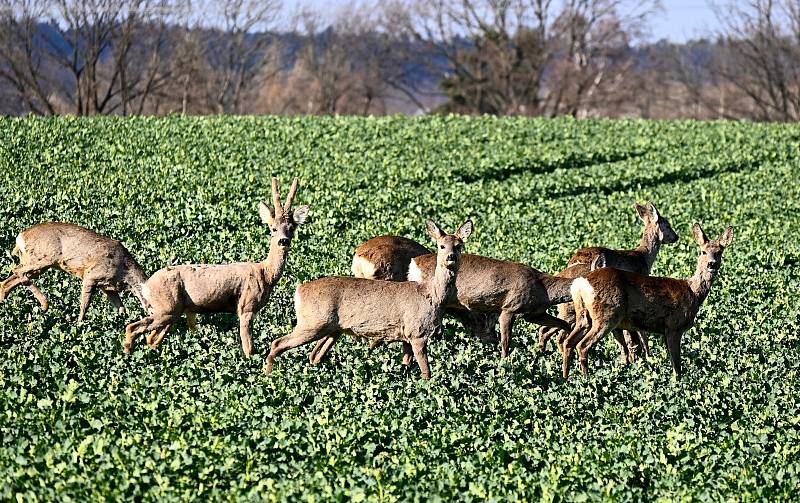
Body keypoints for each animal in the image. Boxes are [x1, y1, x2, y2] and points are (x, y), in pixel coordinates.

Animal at [0, 223, 148, 320]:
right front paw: (79, 325)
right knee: (17, 270)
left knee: (9, 279)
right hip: (45, 258)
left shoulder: (108, 287)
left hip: (34, 262)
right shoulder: (90, 276)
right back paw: (45, 305)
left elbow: (121, 308)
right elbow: (85, 305)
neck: (125, 272)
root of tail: (21, 237)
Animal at [123, 177, 308, 358]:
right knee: (132, 327)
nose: (283, 241)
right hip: (166, 307)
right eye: (273, 228)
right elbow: (249, 349)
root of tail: (147, 285)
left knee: (151, 339)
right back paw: (128, 354)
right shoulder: (246, 306)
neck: (265, 274)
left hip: (172, 310)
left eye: (291, 228)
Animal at [262, 219, 476, 380]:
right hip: (311, 323)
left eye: (459, 245)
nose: (450, 257)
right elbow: (426, 372)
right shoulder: (417, 333)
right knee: (277, 343)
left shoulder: (406, 335)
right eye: (441, 245)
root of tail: (299, 290)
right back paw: (269, 376)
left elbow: (406, 364)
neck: (433, 296)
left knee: (314, 355)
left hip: (332, 328)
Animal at [536, 203, 680, 364]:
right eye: (667, 224)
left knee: (549, 330)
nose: (676, 237)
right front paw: (646, 357)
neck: (643, 257)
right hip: (573, 308)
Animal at [560, 222, 736, 380]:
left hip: (584, 315)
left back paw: (566, 378)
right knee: (582, 345)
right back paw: (586, 379)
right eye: (703, 251)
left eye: (719, 252)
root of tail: (581, 283)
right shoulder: (673, 326)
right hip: (606, 315)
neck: (693, 292)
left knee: (568, 342)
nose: (711, 264)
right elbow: (677, 366)